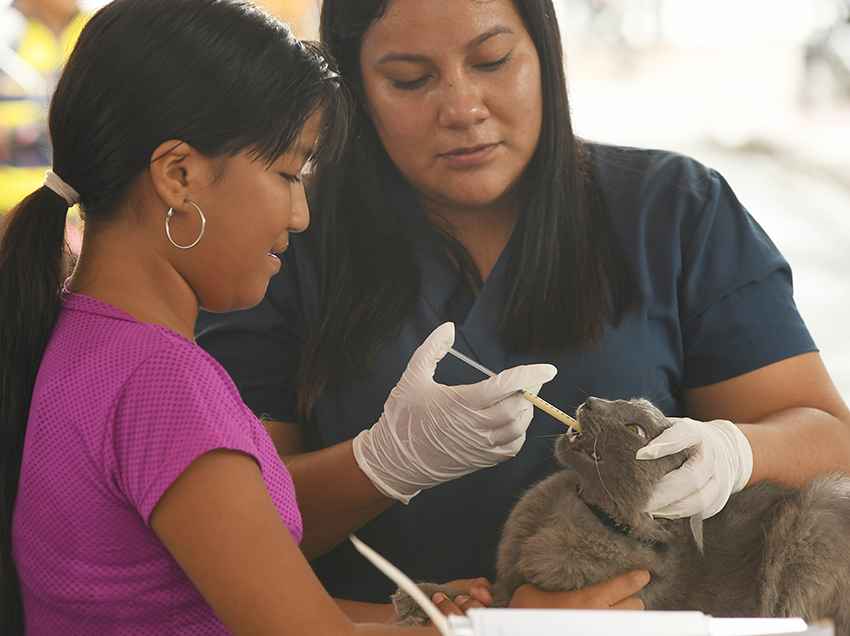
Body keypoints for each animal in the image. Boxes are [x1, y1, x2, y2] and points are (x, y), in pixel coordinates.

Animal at [394, 396, 848, 632]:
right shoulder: (507, 573)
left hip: (811, 514)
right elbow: (489, 586)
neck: (578, 509)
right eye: (620, 401)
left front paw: (448, 607)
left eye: (635, 430)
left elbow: (505, 606)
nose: (590, 401)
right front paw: (424, 594)